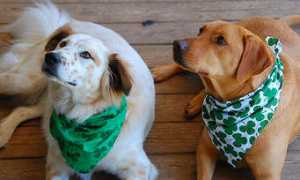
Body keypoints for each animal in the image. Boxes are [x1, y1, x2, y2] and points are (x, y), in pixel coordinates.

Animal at [1, 1, 158, 180]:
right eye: (62, 44)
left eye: (86, 54)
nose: (50, 57)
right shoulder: (56, 165)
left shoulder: (140, 167)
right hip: (26, 81)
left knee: (23, 109)